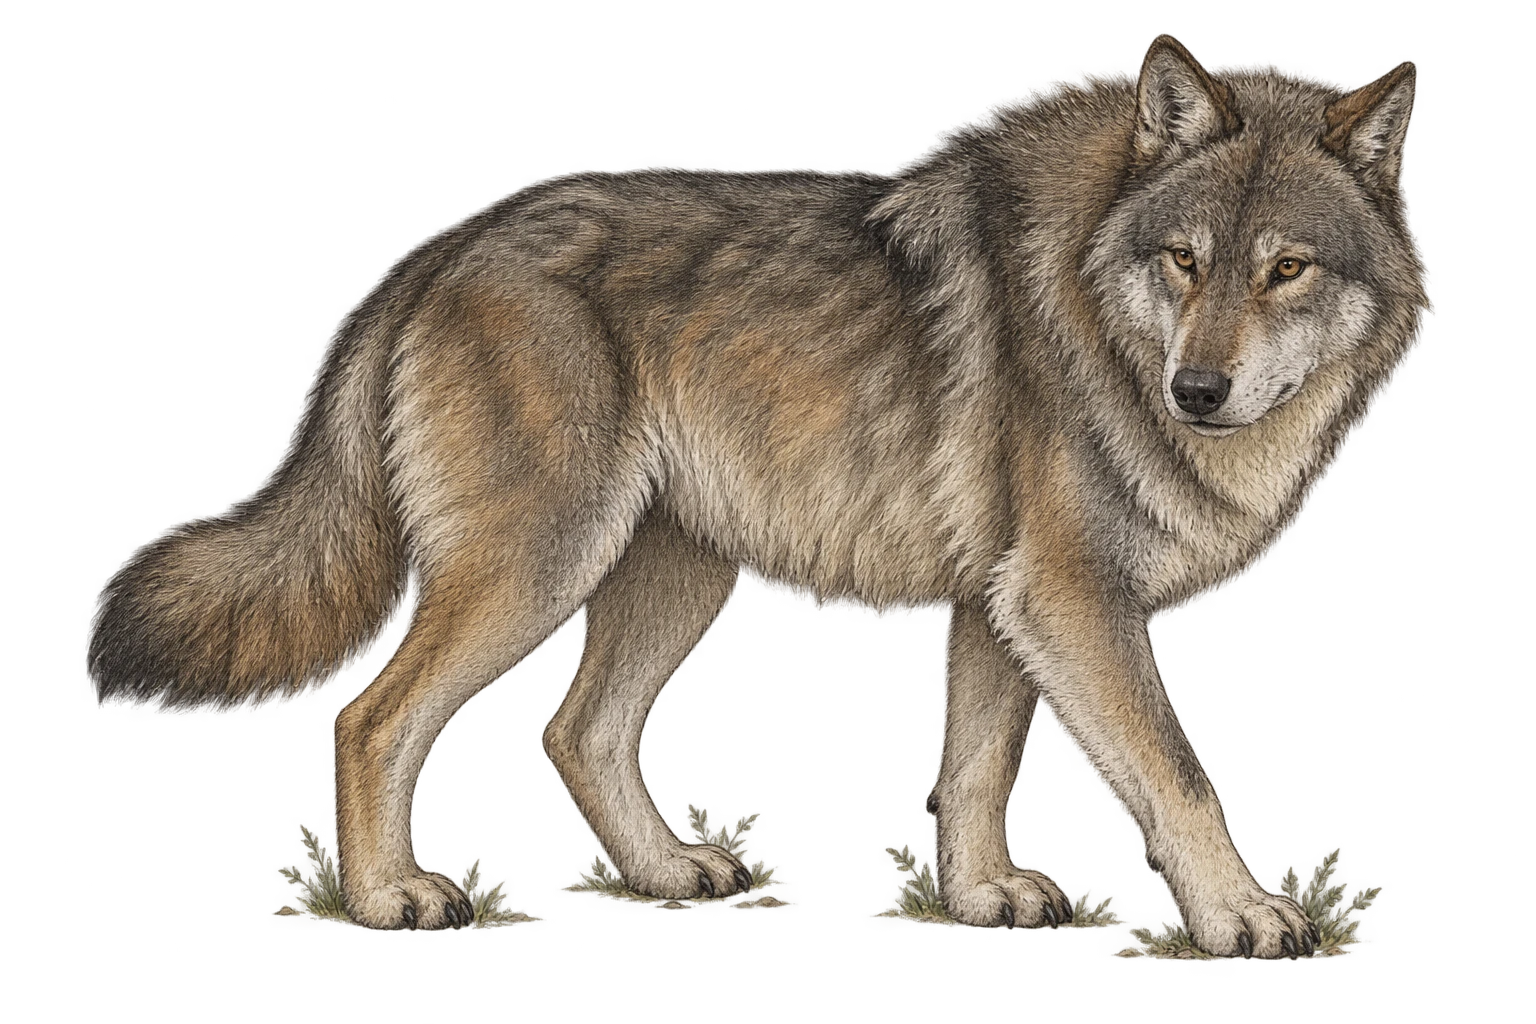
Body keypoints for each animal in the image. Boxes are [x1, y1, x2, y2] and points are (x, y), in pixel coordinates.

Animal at [87, 38, 1423, 957]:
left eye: (1286, 268)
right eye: (1185, 261)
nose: (1198, 390)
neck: (1098, 294)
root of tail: (445, 248)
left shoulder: (1007, 603)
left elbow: (976, 768)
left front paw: (979, 893)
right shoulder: (1067, 596)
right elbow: (1178, 773)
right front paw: (1241, 914)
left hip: (672, 572)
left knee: (577, 730)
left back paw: (665, 873)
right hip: (541, 565)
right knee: (372, 719)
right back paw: (389, 897)